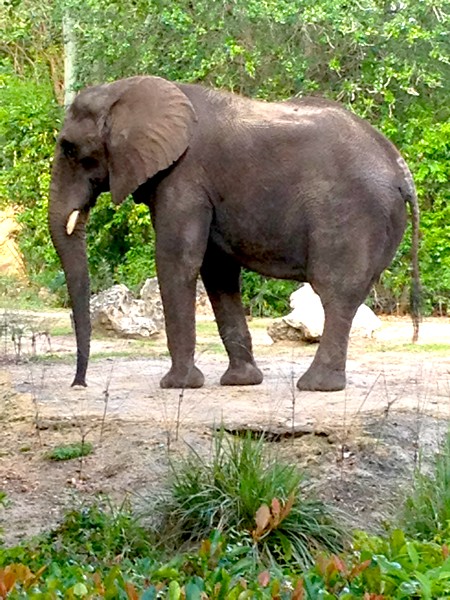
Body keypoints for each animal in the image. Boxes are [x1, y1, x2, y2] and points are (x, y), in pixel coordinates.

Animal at [47, 75, 420, 392]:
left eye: (69, 148)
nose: (79, 384)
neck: (124, 91)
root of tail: (401, 169)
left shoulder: (184, 178)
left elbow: (177, 261)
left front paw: (178, 385)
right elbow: (218, 271)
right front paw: (241, 382)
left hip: (351, 215)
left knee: (335, 292)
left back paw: (315, 386)